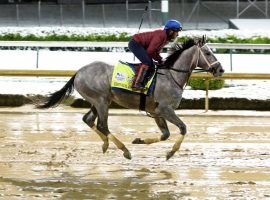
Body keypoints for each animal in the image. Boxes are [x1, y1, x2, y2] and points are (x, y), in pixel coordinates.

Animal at [37, 37, 224, 159]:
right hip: (101, 101)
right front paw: (170, 152)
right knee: (102, 125)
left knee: (88, 120)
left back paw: (106, 144)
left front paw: (139, 140)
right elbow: (183, 128)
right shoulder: (165, 108)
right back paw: (124, 150)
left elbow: (165, 134)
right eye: (208, 53)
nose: (220, 69)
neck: (171, 76)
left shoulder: (156, 111)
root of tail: (79, 72)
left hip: (99, 100)